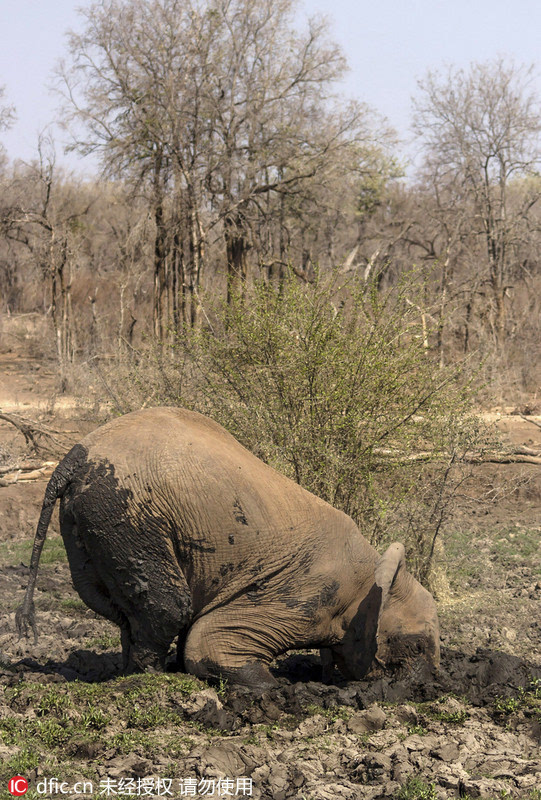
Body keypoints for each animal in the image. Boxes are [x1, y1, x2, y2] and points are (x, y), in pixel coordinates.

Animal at [16, 406, 438, 688]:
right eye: (416, 647)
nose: (425, 692)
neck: (375, 571)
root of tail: (73, 456)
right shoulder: (308, 597)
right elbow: (208, 641)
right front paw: (273, 688)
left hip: (86, 519)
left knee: (115, 606)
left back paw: (130, 671)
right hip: (126, 510)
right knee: (170, 606)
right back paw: (148, 678)